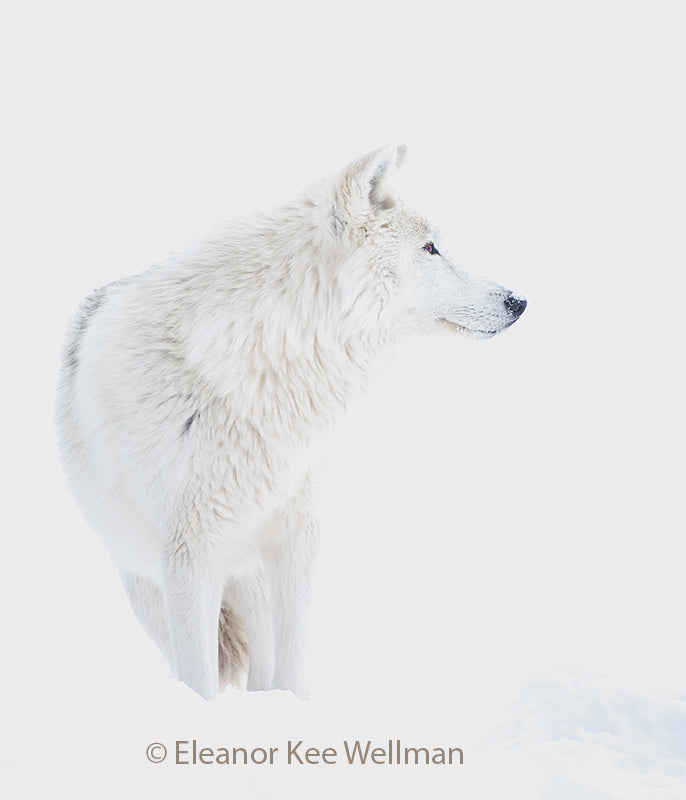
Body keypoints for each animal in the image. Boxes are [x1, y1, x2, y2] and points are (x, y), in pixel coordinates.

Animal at [55, 146, 526, 700]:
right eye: (430, 249)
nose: (518, 302)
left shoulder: (299, 534)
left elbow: (294, 660)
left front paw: (292, 705)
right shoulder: (190, 557)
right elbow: (200, 678)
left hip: (248, 576)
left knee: (261, 657)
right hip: (147, 584)